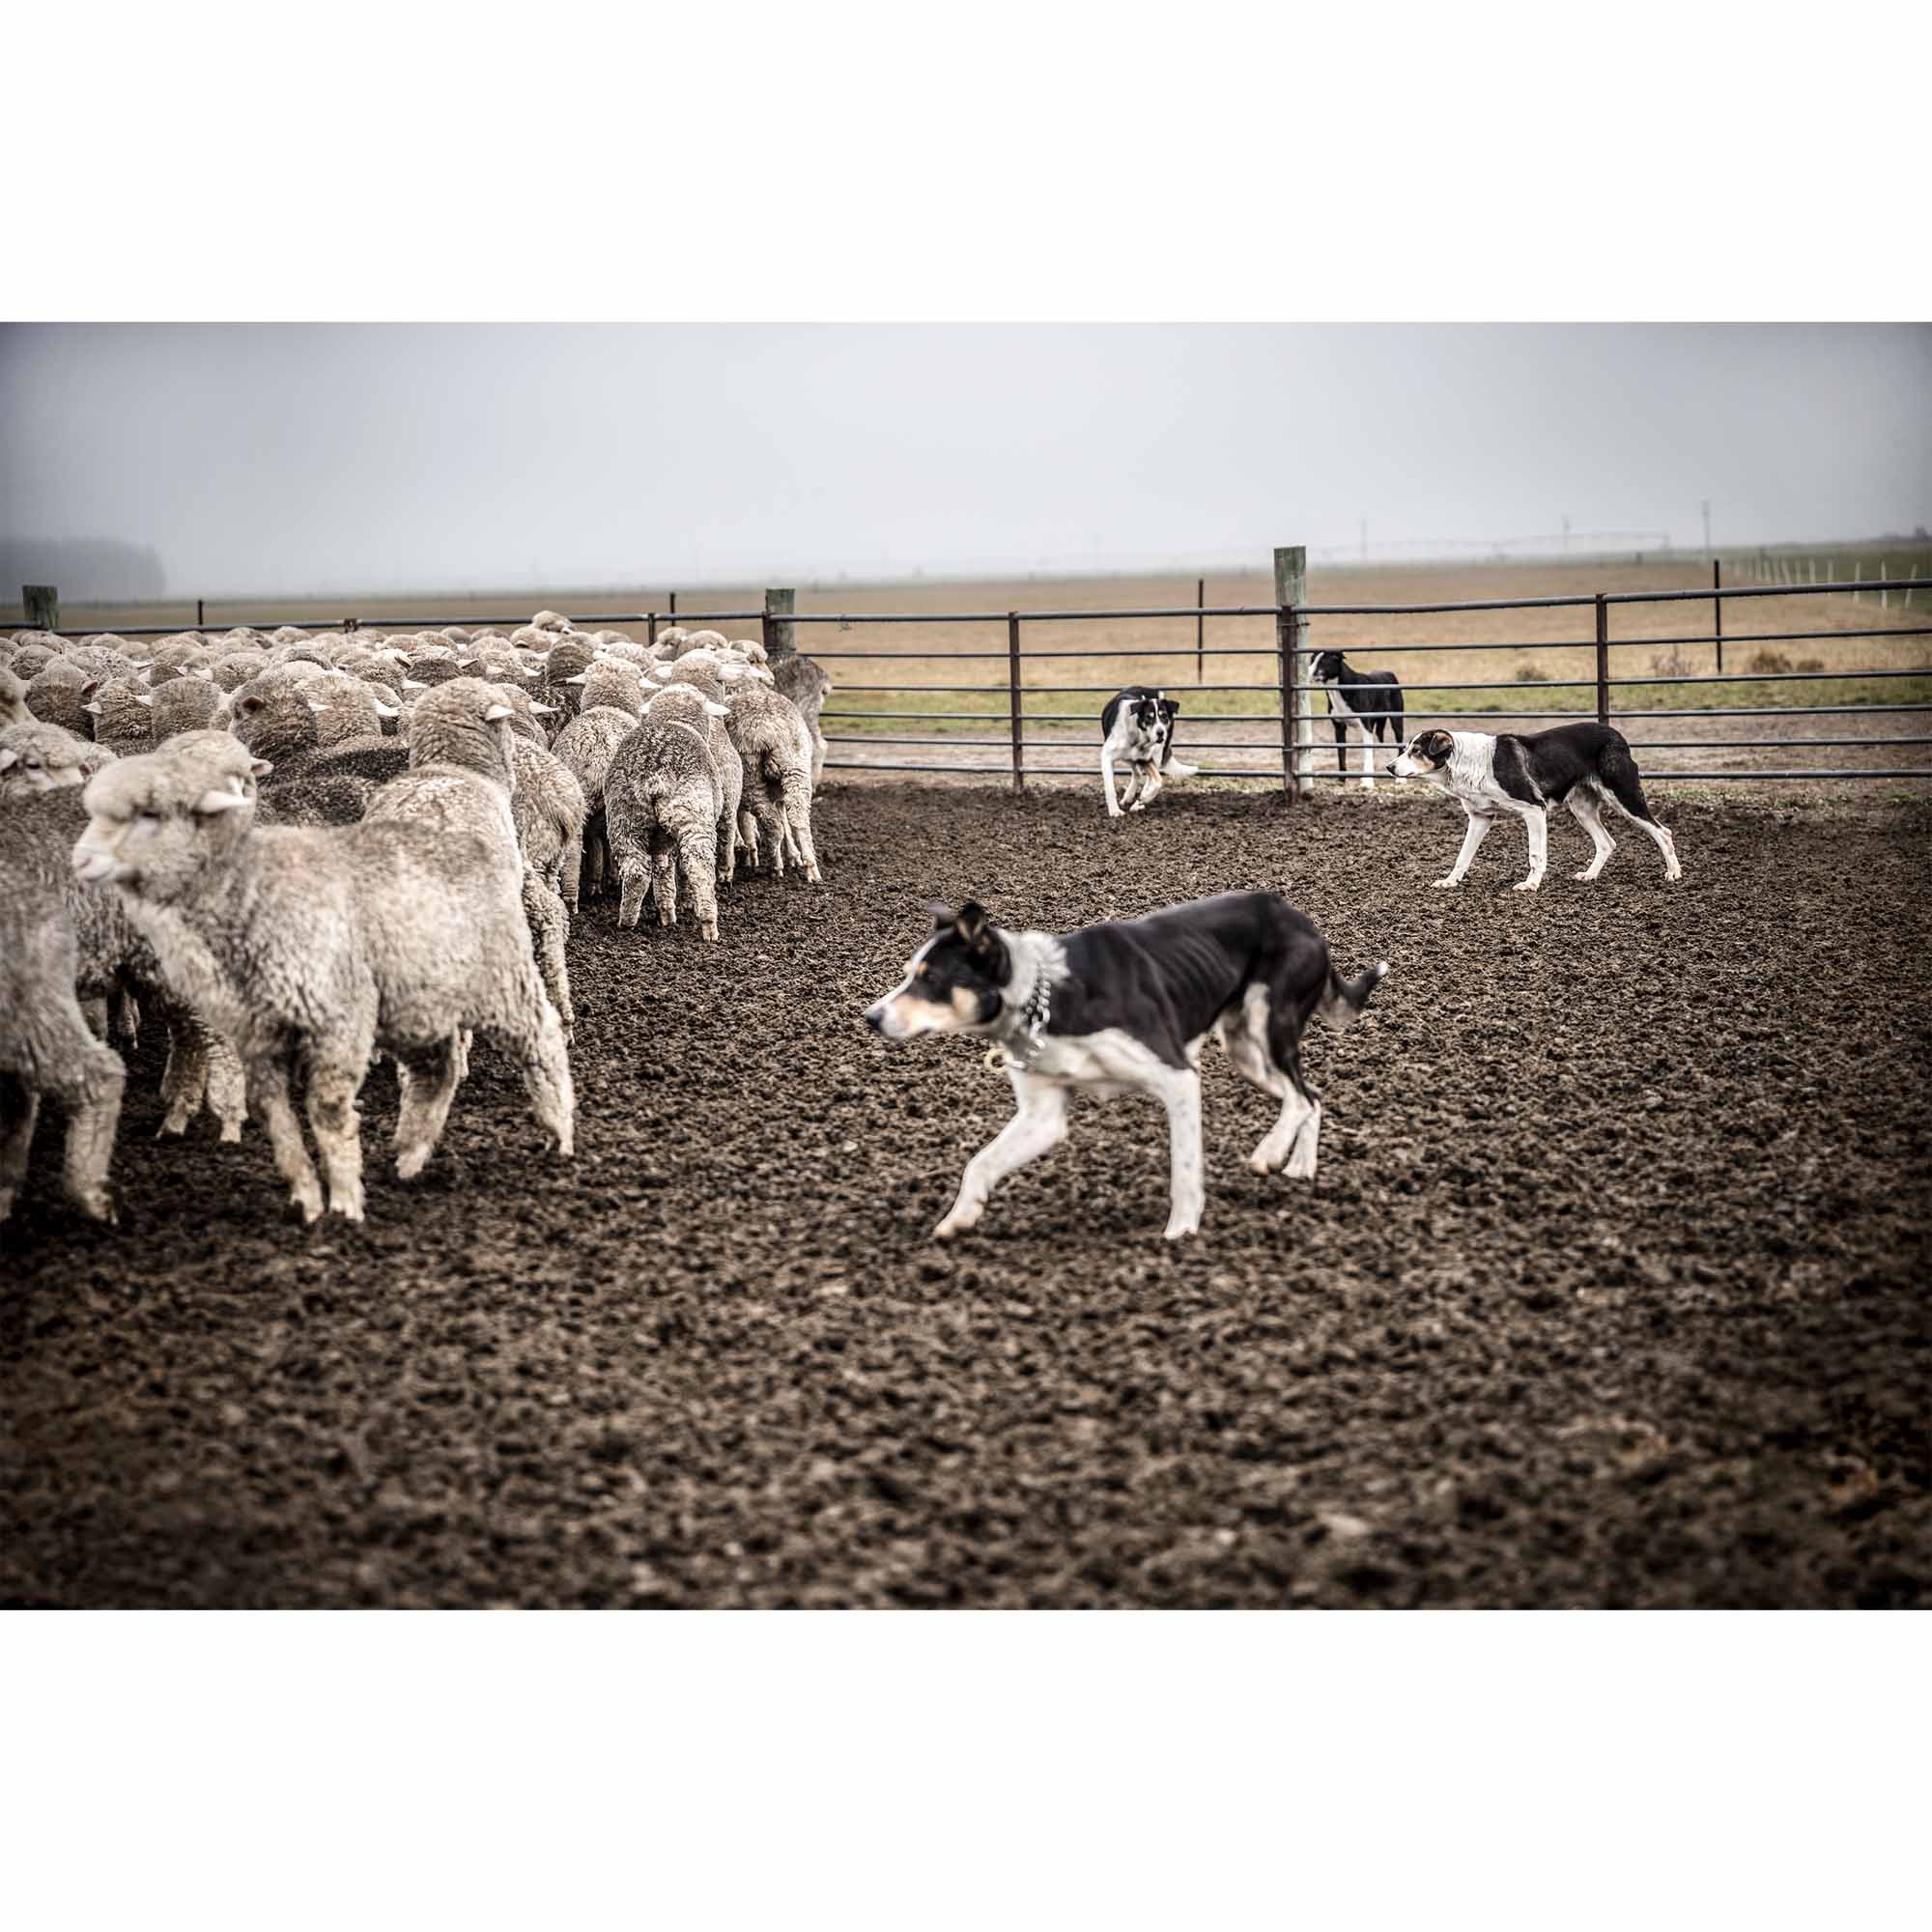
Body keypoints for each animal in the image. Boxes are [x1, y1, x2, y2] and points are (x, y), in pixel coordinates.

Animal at [603, 685, 731, 940]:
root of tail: (654, 772)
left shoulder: (661, 841)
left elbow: (662, 871)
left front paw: (666, 912)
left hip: (625, 816)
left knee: (636, 872)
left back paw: (627, 922)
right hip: (692, 814)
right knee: (698, 866)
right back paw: (709, 924)